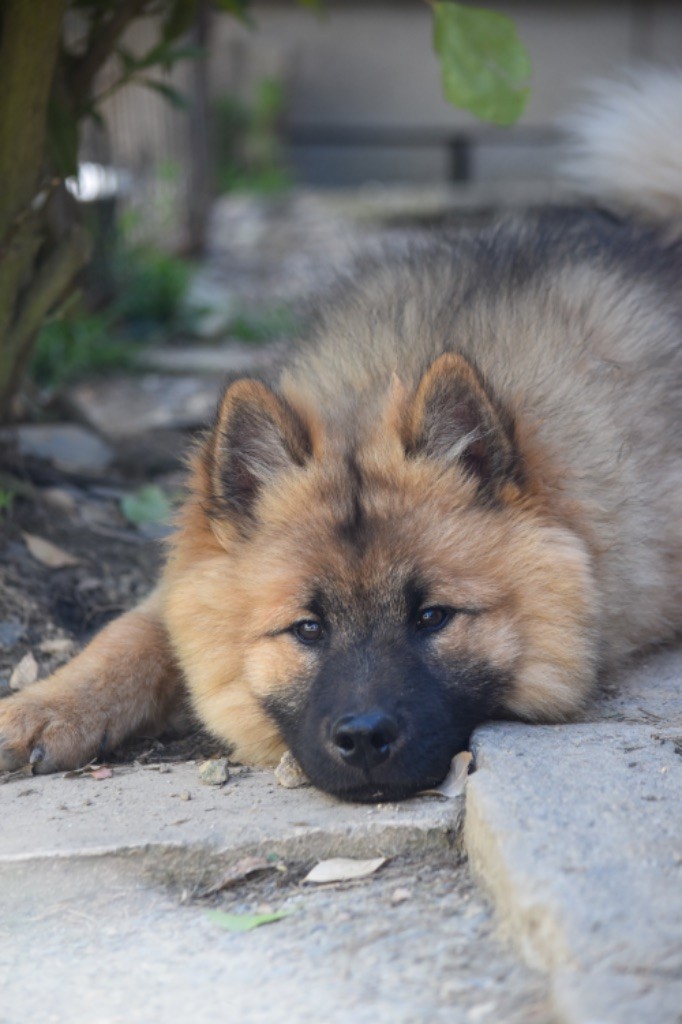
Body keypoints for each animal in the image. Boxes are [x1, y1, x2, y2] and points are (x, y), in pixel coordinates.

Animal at [1, 72, 679, 802]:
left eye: (433, 617)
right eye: (307, 628)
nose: (364, 739)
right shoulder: (182, 584)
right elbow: (126, 636)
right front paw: (43, 708)